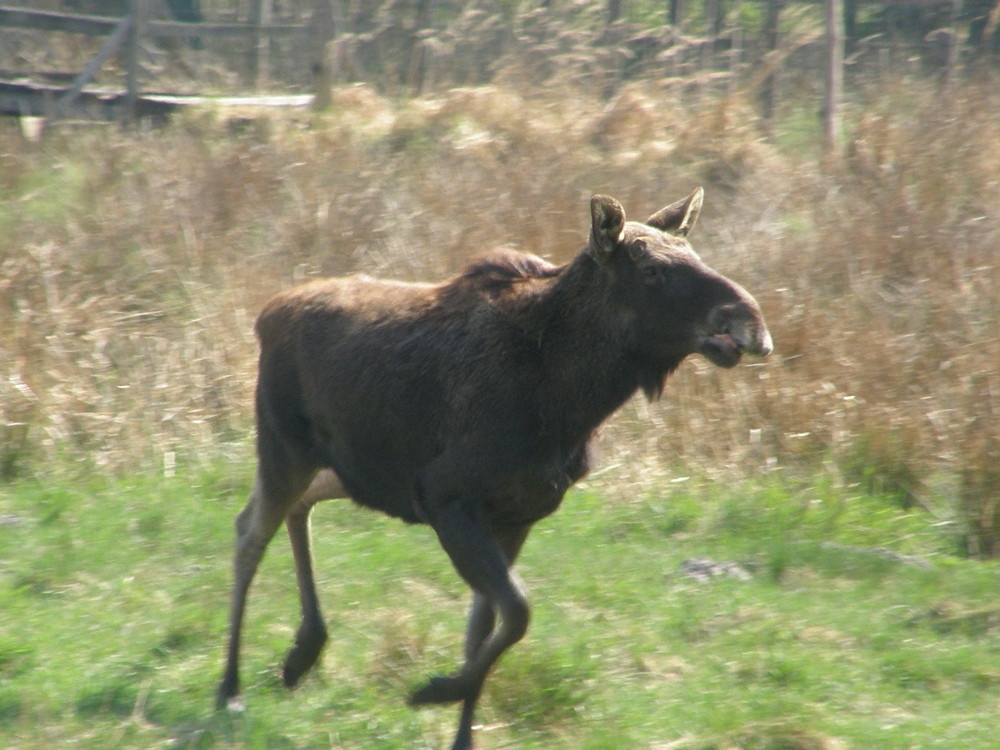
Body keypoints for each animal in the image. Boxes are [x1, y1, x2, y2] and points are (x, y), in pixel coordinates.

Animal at [219, 187, 772, 748]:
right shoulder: (446, 496)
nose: (750, 321)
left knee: (295, 510)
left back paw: (302, 652)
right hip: (285, 448)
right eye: (650, 269)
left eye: (694, 255)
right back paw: (231, 686)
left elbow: (486, 626)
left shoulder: (515, 515)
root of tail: (265, 315)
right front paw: (436, 690)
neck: (572, 402)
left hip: (346, 469)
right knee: (249, 533)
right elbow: (519, 612)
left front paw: (461, 727)